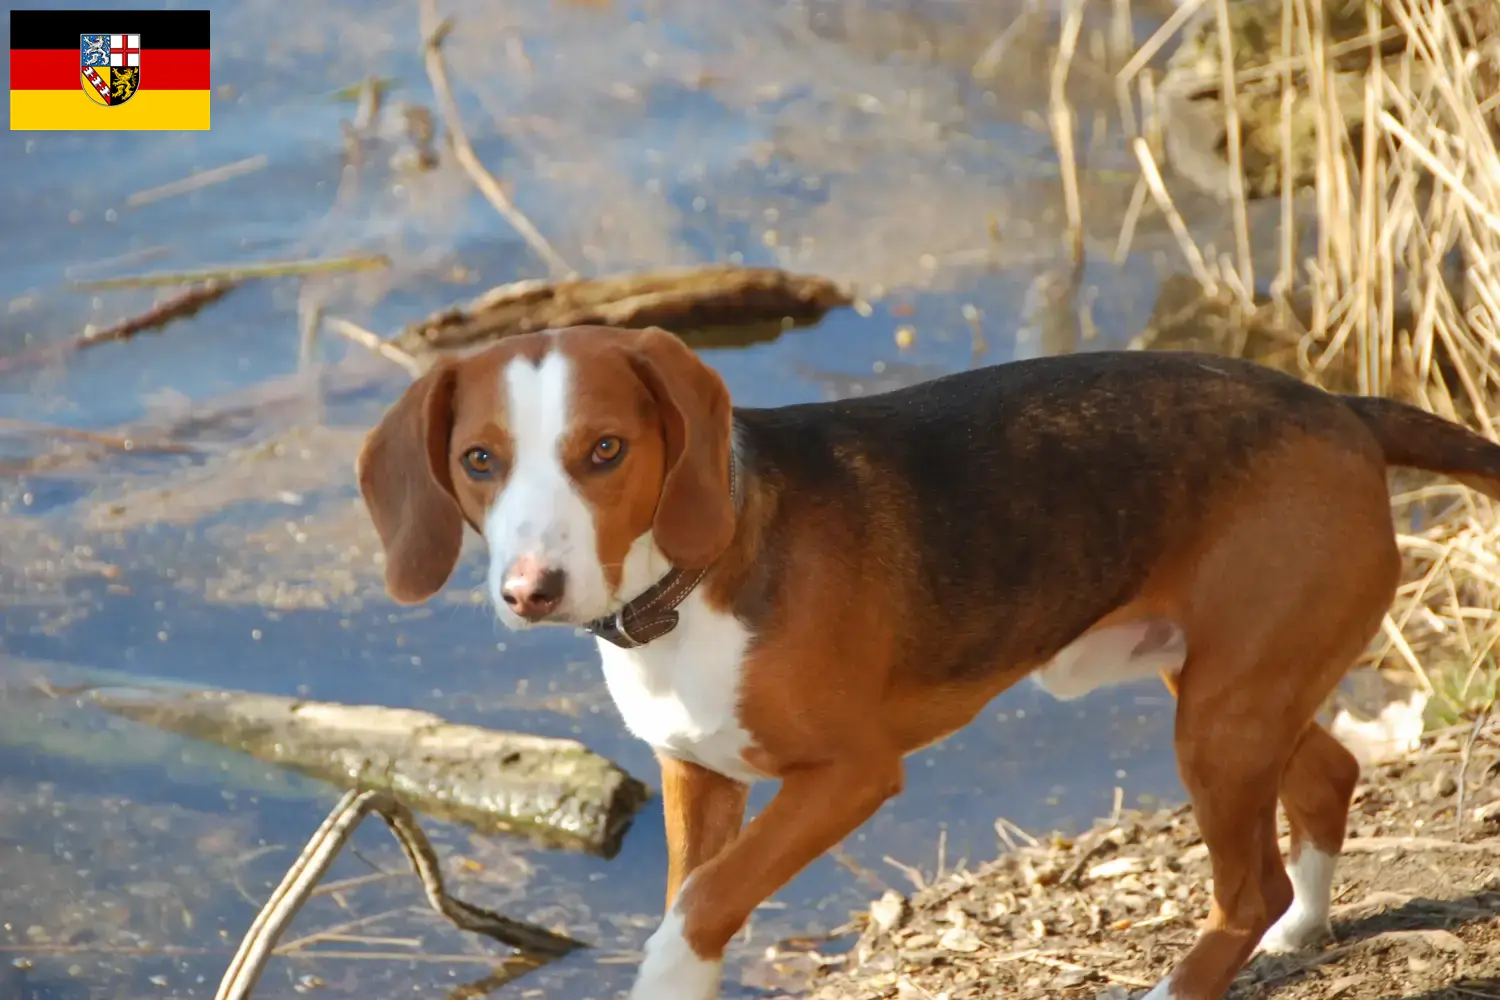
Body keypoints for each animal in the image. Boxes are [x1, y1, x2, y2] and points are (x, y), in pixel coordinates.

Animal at [357, 325, 1500, 995]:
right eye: (478, 461)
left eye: (605, 451)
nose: (531, 591)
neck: (690, 584)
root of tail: (1341, 409)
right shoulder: (698, 775)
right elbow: (697, 890)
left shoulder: (850, 777)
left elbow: (701, 906)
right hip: (1229, 689)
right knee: (1331, 776)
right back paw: (1303, 930)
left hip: (1219, 723)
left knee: (1247, 883)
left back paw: (1198, 973)